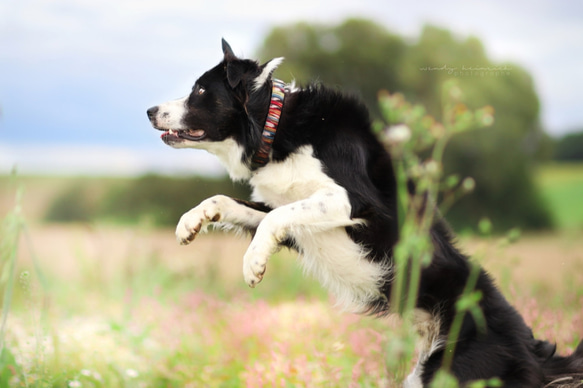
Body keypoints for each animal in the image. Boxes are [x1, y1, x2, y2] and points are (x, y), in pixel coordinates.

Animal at [149, 40, 583, 388]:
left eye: (200, 91)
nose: (151, 110)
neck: (275, 126)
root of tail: (531, 351)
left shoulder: (351, 201)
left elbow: (276, 217)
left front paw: (253, 264)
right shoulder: (289, 213)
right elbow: (229, 202)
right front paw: (189, 223)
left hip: (453, 372)